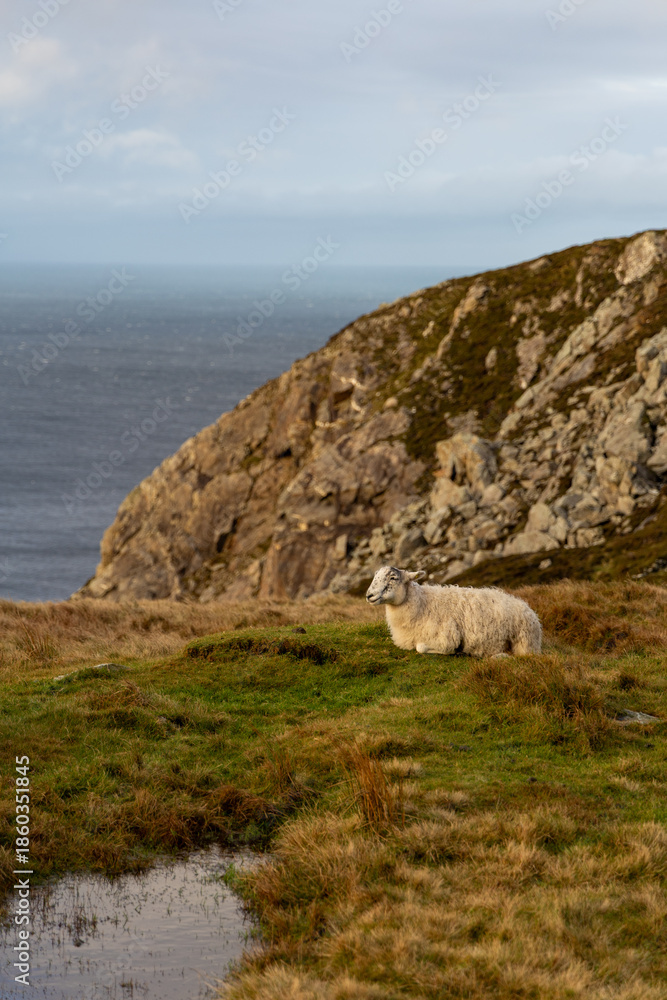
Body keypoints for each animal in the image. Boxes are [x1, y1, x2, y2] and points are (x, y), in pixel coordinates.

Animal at [365, 566, 542, 656]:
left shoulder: (447, 638)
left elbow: (421, 648)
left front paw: (455, 651)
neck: (422, 603)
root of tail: (526, 606)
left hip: (525, 642)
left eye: (393, 577)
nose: (369, 595)